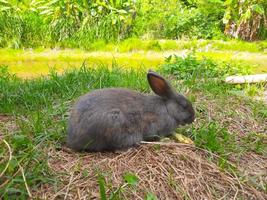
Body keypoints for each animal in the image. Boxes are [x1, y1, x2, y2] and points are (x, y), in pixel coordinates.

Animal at [67, 70, 195, 152]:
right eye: (184, 106)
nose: (193, 118)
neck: (168, 109)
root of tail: (73, 139)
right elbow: (159, 136)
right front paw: (167, 140)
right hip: (115, 123)